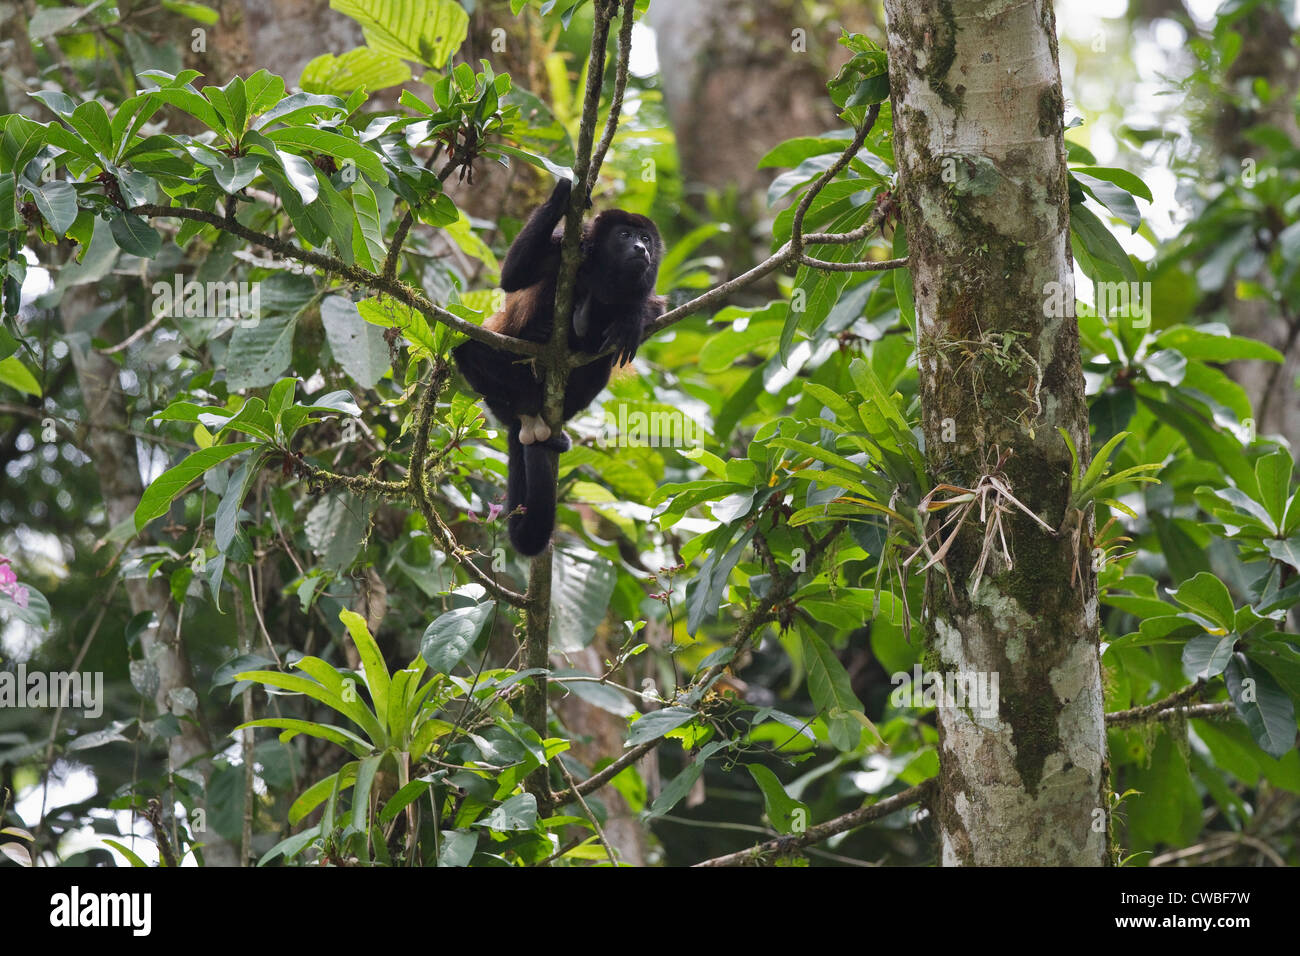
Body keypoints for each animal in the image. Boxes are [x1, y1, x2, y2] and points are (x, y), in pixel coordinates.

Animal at [454, 175, 660, 556]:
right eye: (625, 235)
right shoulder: (565, 250)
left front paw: (632, 318)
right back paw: (526, 405)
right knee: (466, 347)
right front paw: (563, 192)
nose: (642, 249)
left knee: (601, 361)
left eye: (647, 238)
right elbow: (513, 277)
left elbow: (652, 308)